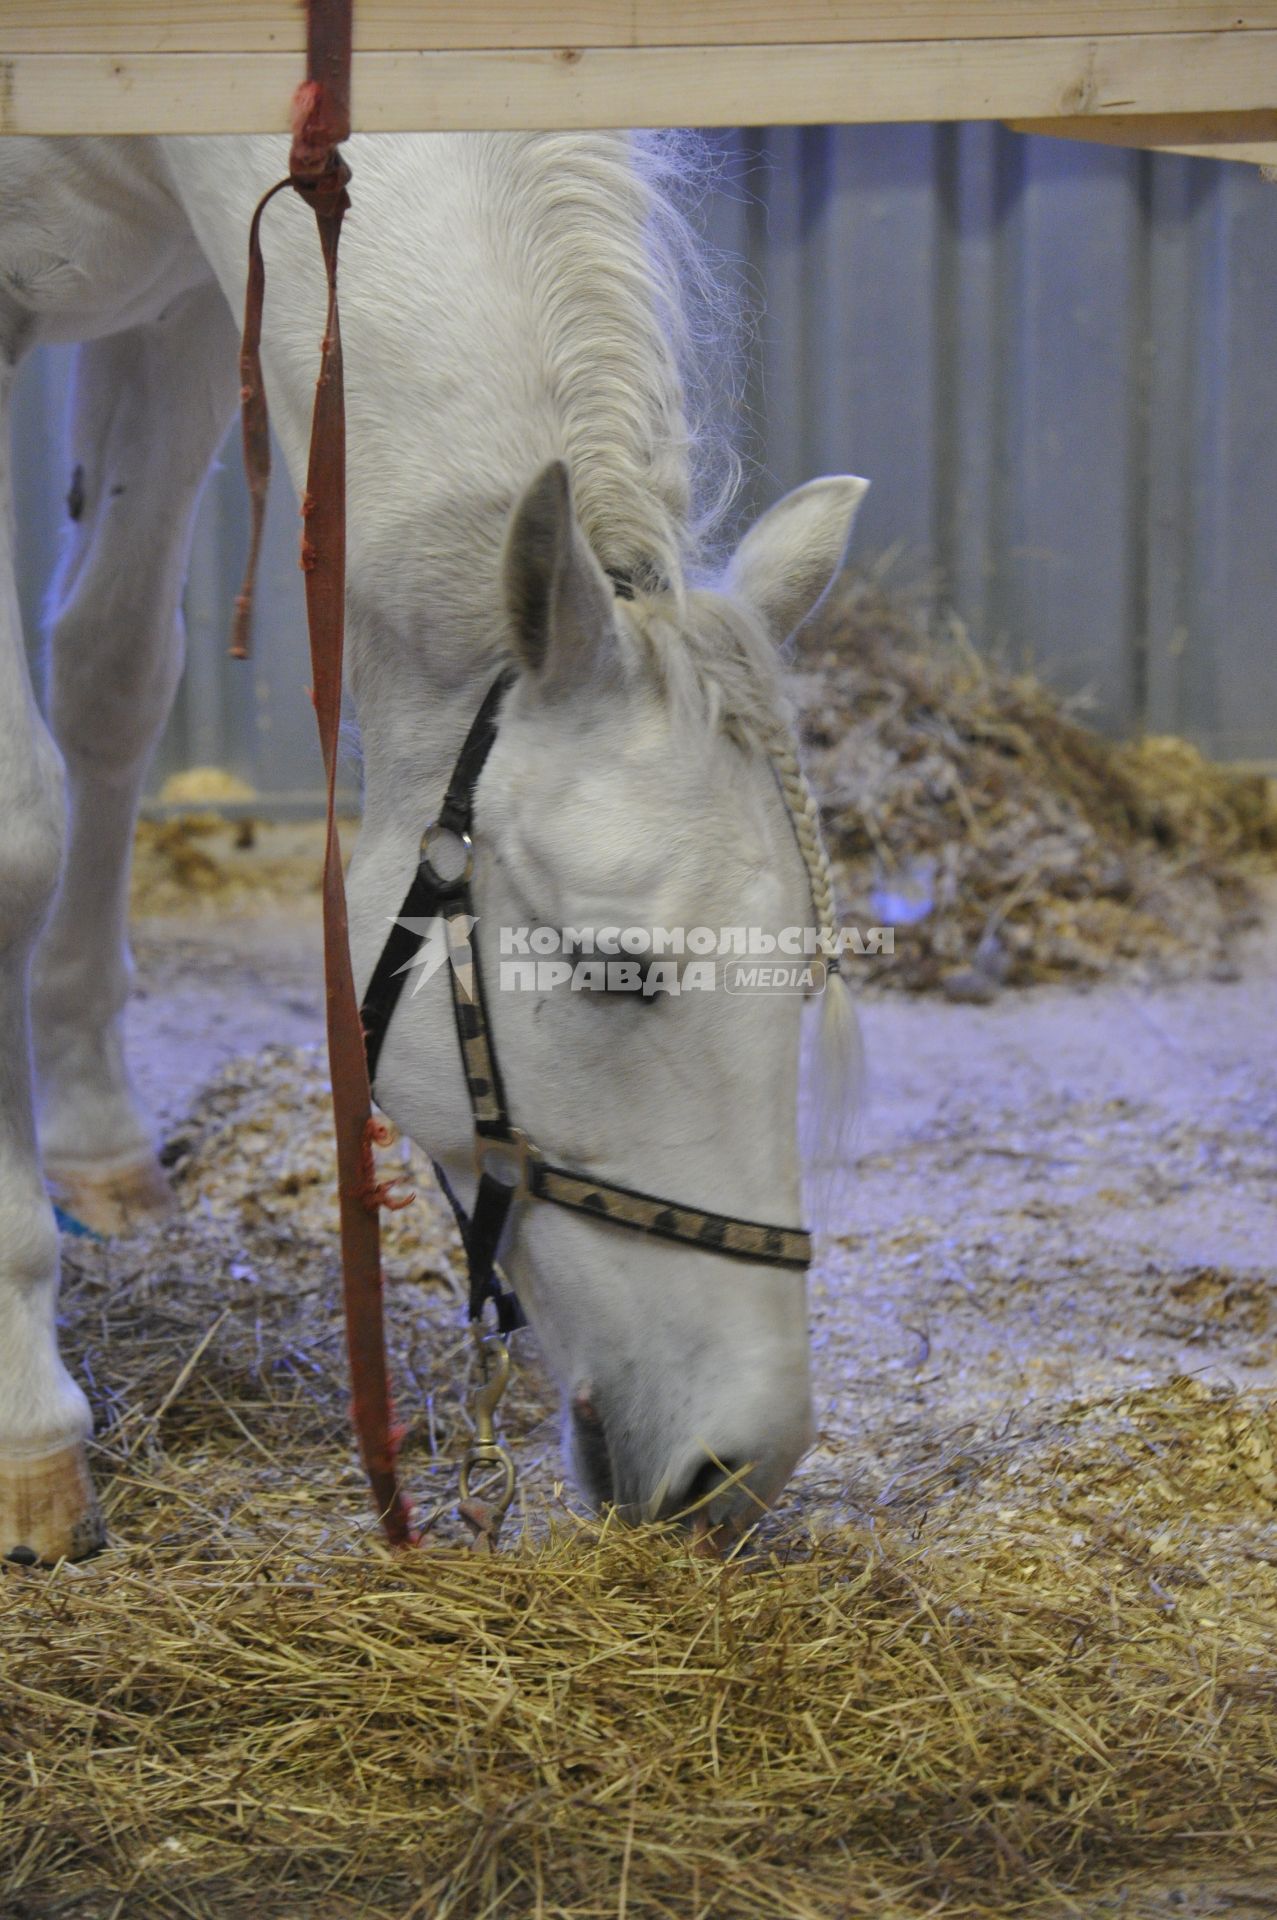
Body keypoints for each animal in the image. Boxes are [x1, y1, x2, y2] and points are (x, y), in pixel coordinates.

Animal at [2, 131, 867, 1559]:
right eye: (612, 969)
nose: (742, 1467)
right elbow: (22, 832)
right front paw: (29, 1415)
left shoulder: (189, 315)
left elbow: (115, 676)